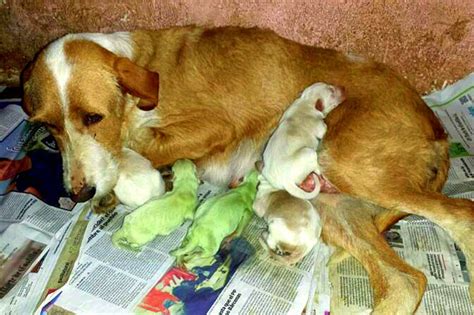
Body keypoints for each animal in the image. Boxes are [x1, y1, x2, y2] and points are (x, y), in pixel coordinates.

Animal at [22, 26, 474, 314]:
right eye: (48, 127)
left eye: (93, 117)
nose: (78, 195)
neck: (139, 67)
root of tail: (436, 127)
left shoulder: (212, 126)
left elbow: (135, 144)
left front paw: (121, 174)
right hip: (330, 203)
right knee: (403, 282)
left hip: (346, 162)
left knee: (461, 215)